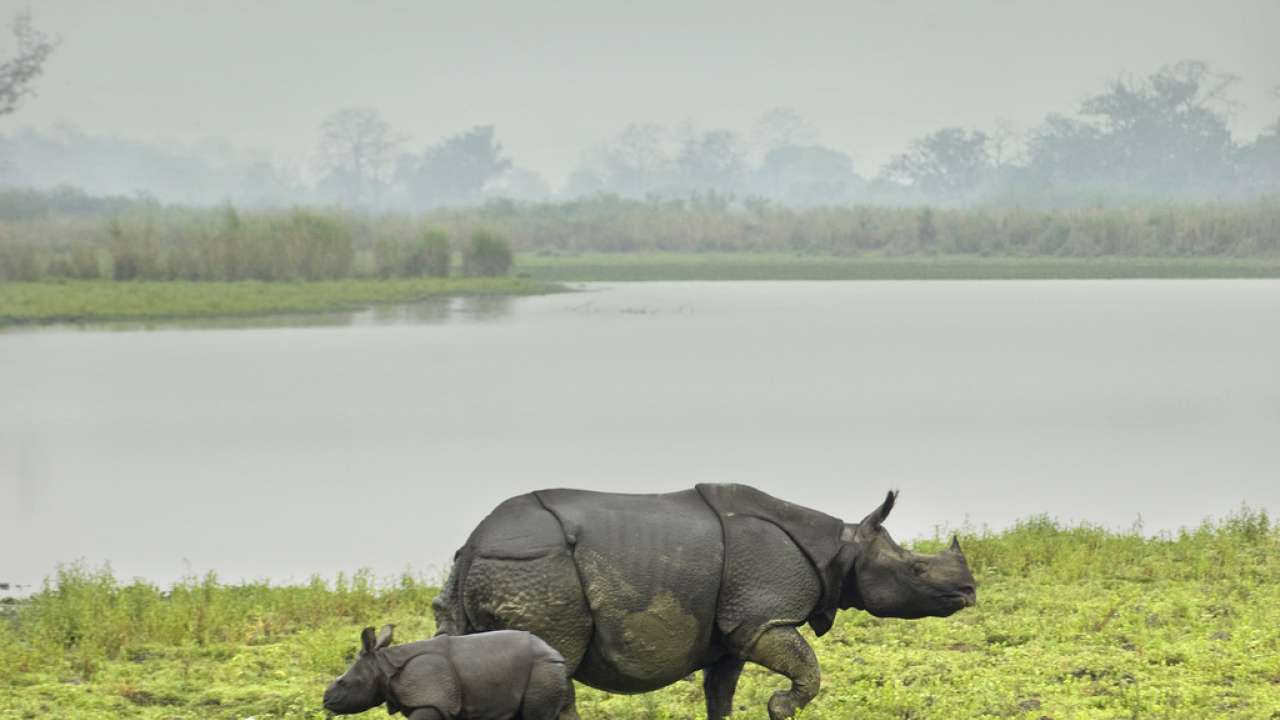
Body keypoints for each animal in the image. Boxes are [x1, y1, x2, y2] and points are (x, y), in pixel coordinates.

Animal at [322, 622, 568, 717]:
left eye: (343, 682)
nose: (325, 700)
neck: (384, 666)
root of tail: (556, 654)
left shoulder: (431, 700)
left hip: (541, 669)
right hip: (547, 670)